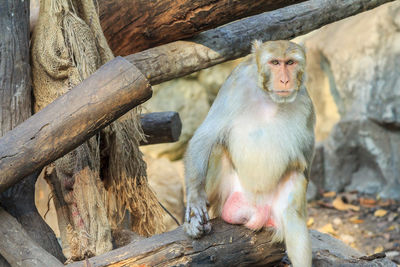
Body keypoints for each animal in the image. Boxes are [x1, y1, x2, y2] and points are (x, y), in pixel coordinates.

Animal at [184, 40, 316, 267]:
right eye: (275, 62)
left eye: (290, 62)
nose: (285, 79)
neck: (268, 97)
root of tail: (257, 208)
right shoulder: (234, 84)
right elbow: (205, 136)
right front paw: (195, 202)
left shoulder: (306, 104)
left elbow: (304, 160)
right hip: (228, 195)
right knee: (218, 147)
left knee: (292, 207)